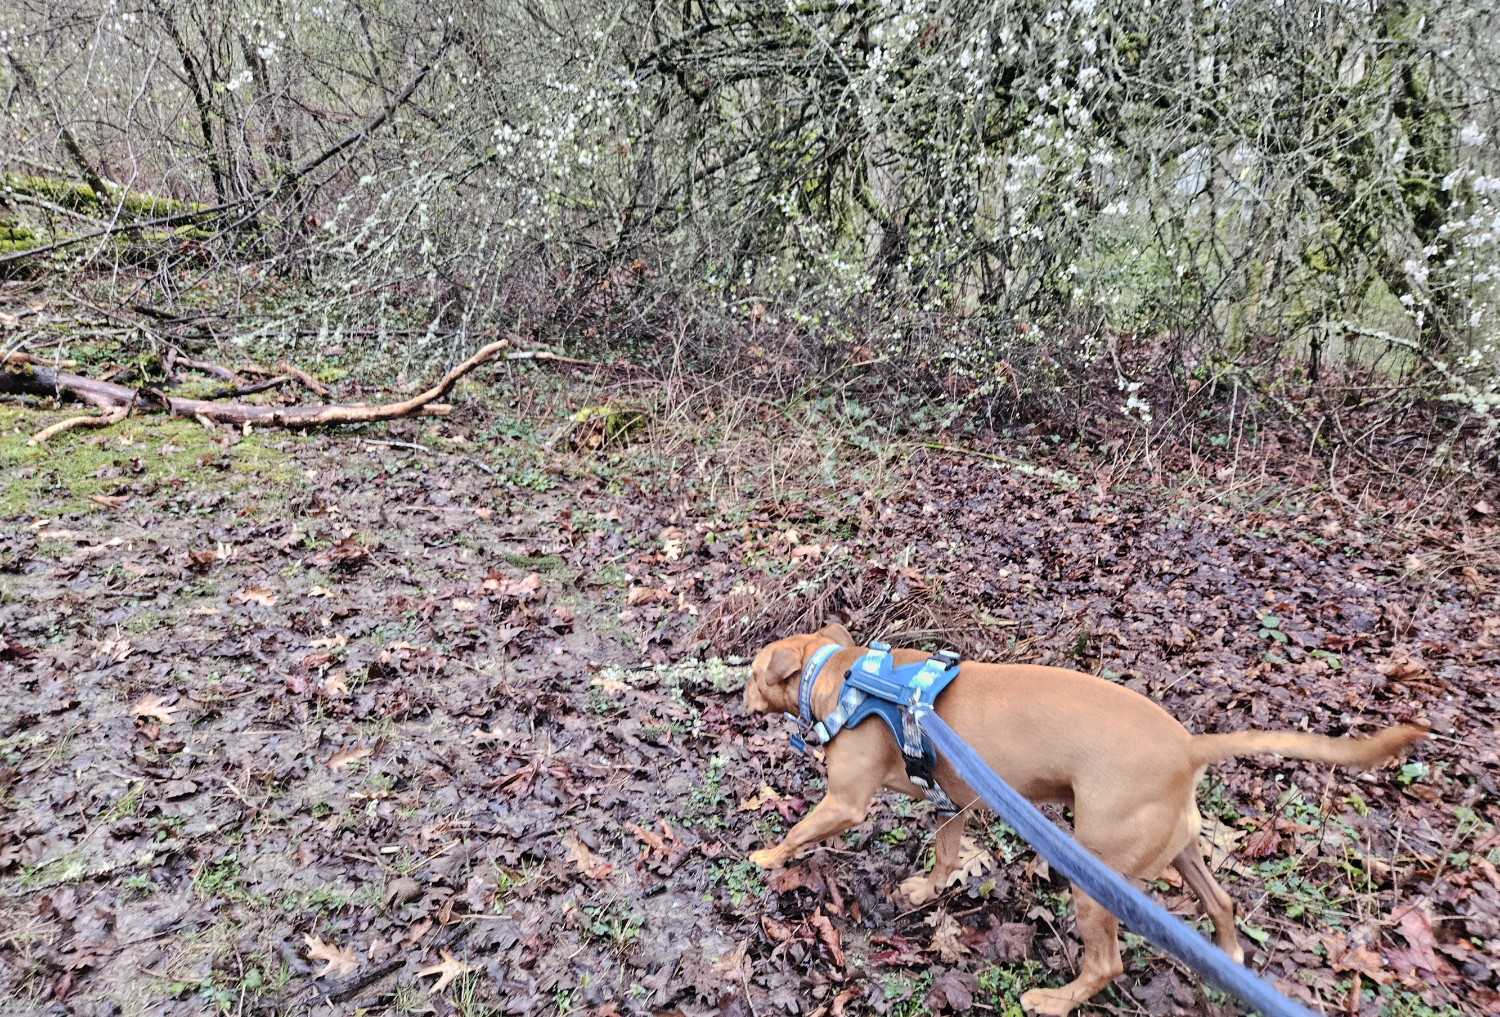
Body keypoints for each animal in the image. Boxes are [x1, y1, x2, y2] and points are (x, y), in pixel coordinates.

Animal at [744, 627, 1422, 1014]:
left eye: (750, 672)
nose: (737, 696)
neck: (847, 677)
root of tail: (1187, 747)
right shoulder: (953, 801)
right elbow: (944, 853)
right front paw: (926, 890)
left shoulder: (844, 803)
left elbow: (799, 830)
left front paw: (768, 858)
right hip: (1175, 851)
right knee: (1221, 903)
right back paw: (1227, 957)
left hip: (1094, 875)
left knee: (1106, 965)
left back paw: (1052, 1001)